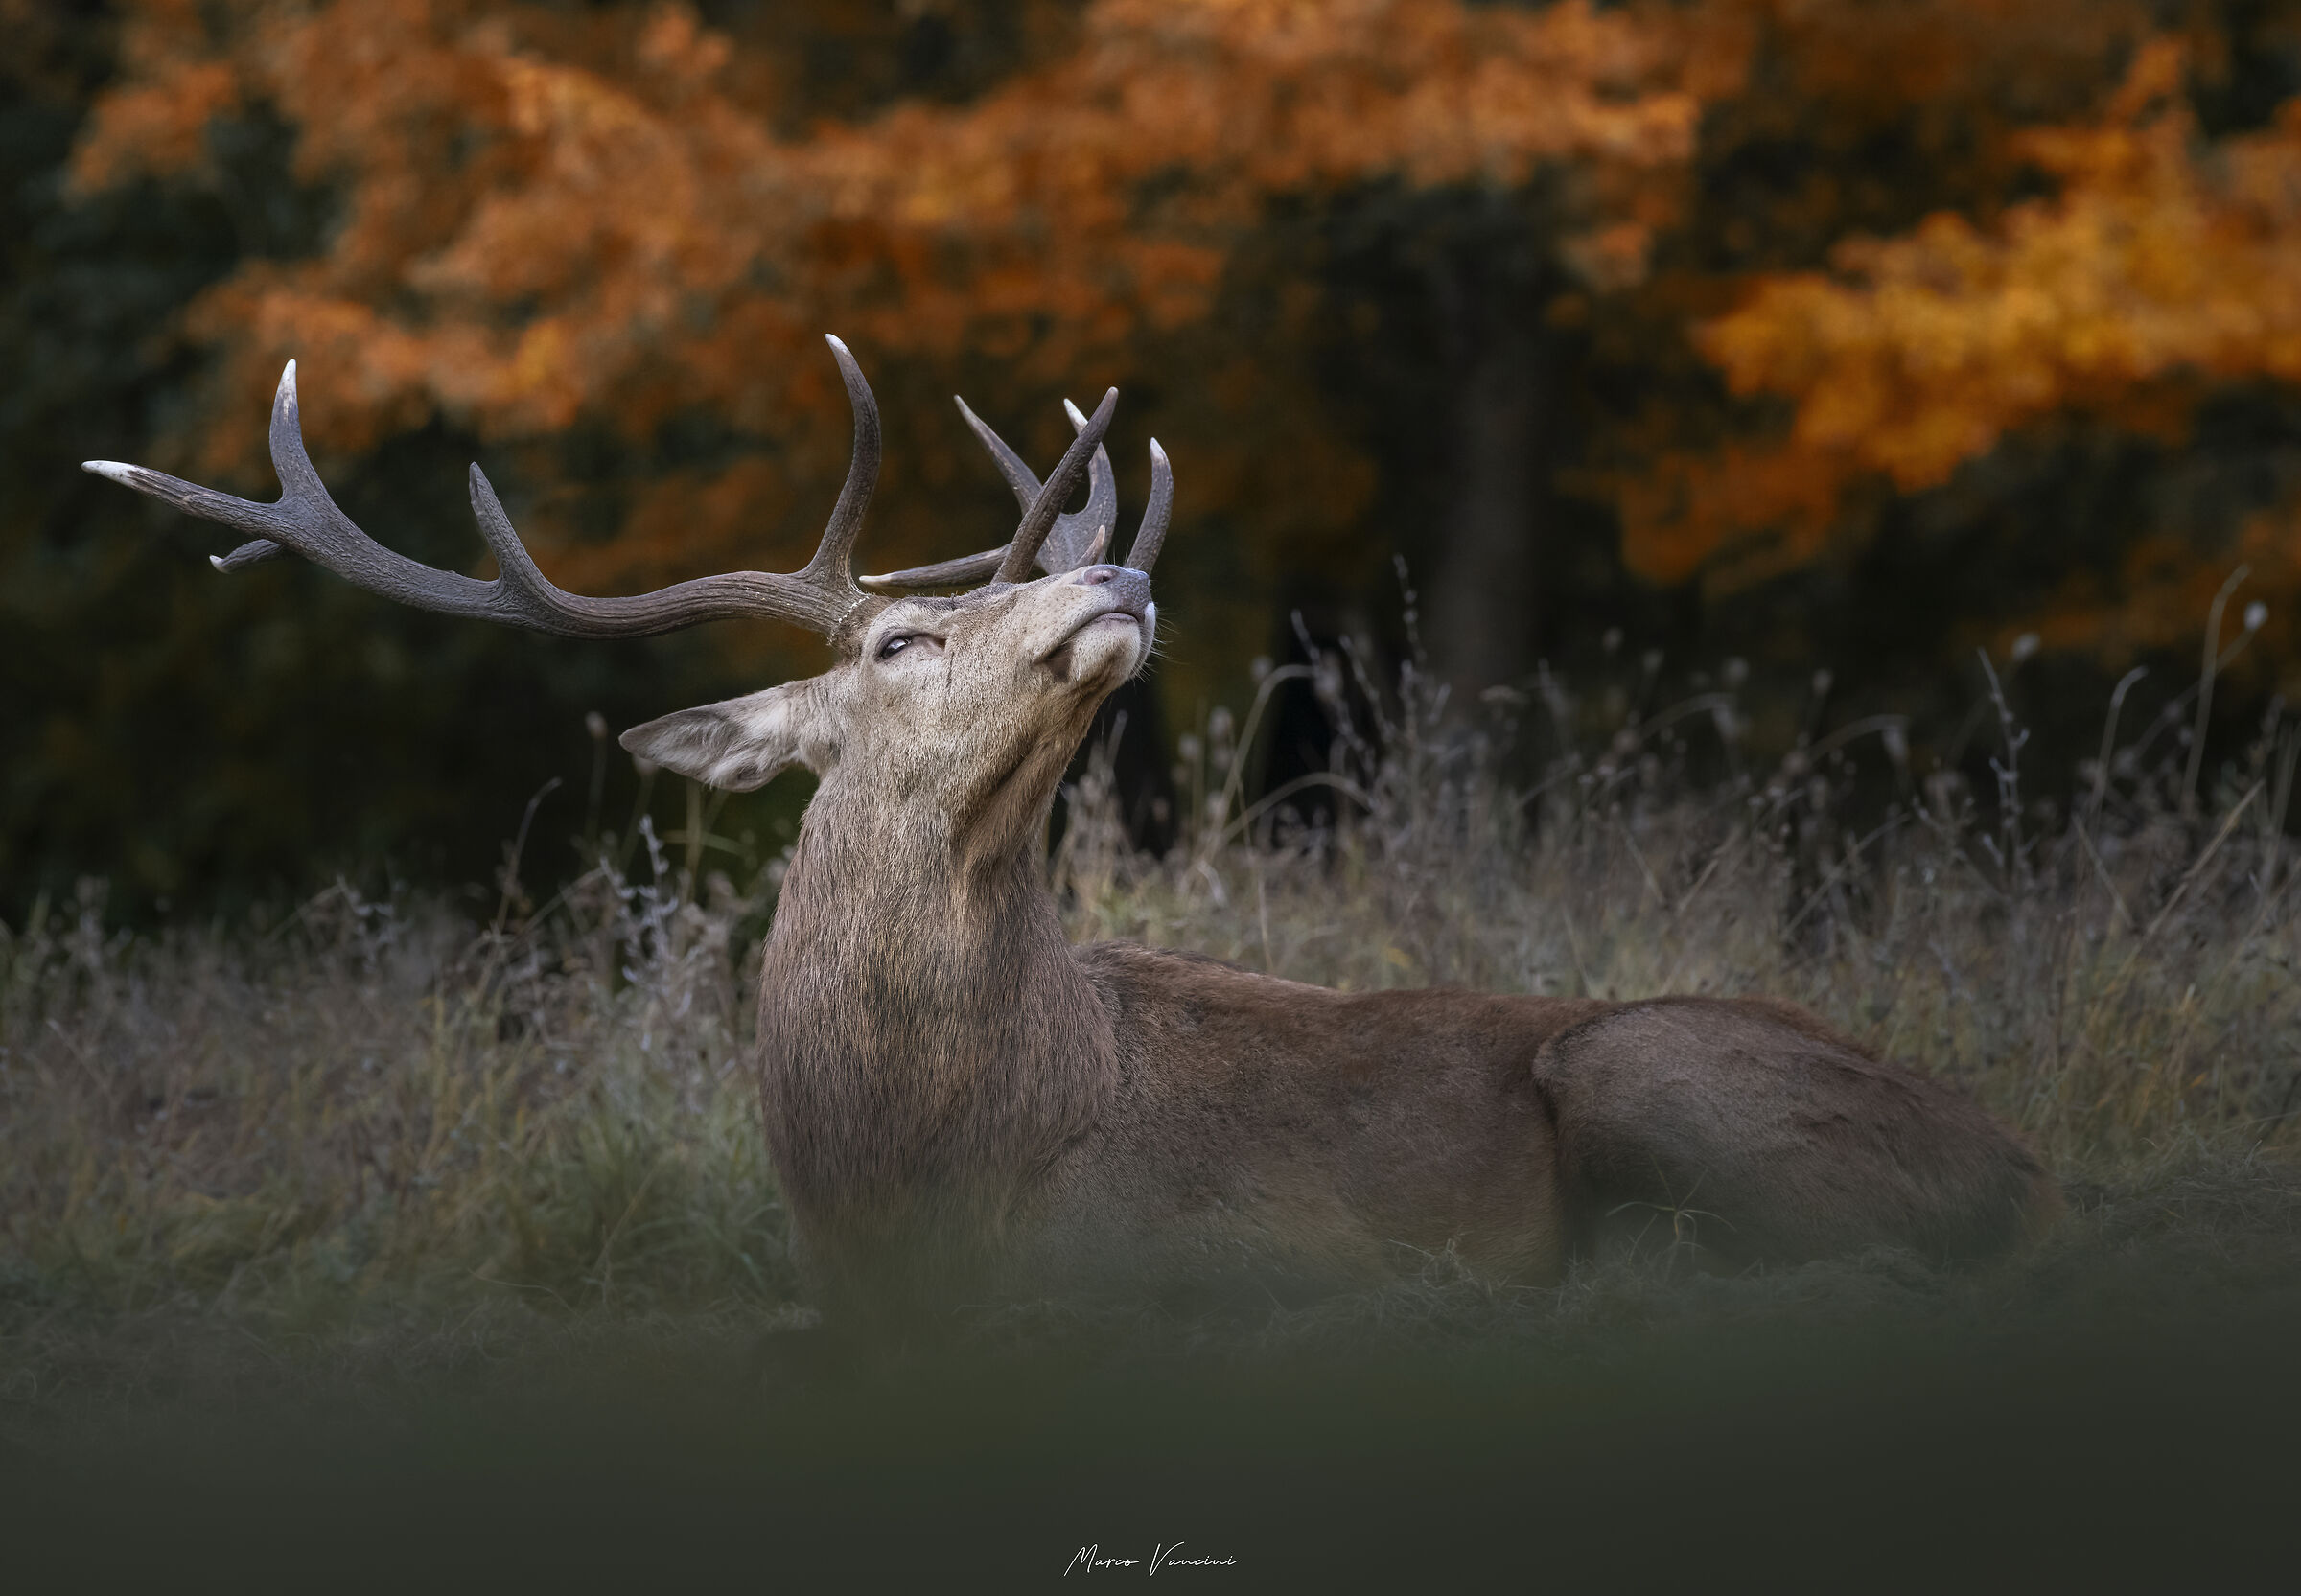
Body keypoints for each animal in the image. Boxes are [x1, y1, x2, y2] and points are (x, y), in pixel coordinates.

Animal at [86, 337, 2061, 1322]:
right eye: (899, 640)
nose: (1117, 570)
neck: (924, 1159)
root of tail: (2014, 1157)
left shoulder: (1214, 1249)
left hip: (1656, 1070)